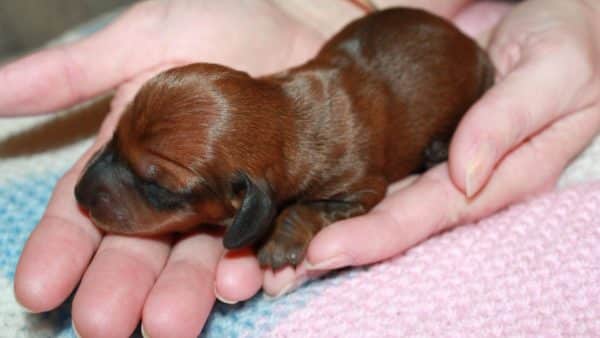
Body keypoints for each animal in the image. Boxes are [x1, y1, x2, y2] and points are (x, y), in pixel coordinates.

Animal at [75, 7, 494, 270]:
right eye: (114, 138)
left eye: (156, 187)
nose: (79, 195)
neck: (288, 116)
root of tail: (470, 42)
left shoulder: (360, 187)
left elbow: (304, 206)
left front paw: (279, 244)